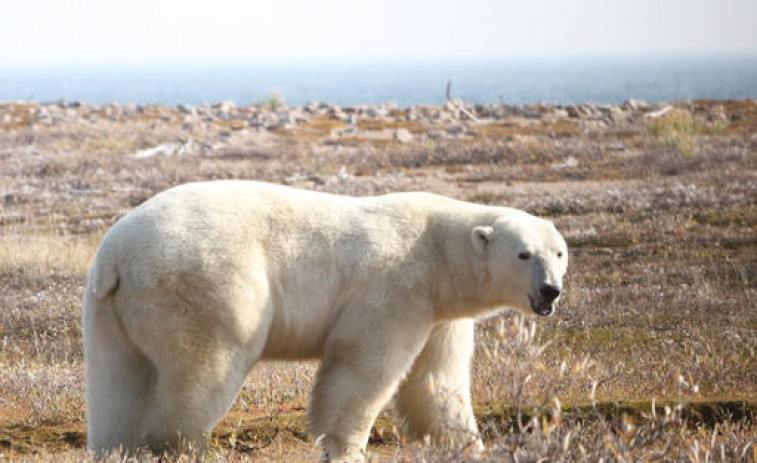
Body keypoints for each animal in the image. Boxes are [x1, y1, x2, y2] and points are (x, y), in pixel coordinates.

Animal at [84, 179, 568, 462]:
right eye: (524, 254)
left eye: (559, 252)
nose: (550, 290)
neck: (437, 251)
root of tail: (117, 256)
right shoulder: (395, 288)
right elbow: (364, 368)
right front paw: (346, 449)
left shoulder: (440, 312)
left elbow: (436, 380)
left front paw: (467, 444)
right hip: (205, 284)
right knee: (205, 366)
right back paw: (185, 446)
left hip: (109, 310)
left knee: (118, 380)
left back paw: (115, 448)